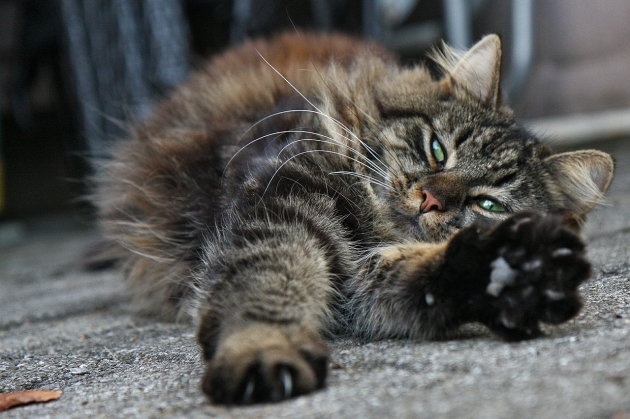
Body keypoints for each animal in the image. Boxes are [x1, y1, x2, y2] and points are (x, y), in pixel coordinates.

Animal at [94, 31, 616, 406]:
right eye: (437, 150)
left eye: (487, 205)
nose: (431, 199)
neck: (366, 230)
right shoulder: (282, 208)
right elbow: (266, 279)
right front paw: (262, 349)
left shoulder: (360, 285)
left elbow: (423, 280)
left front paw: (511, 274)